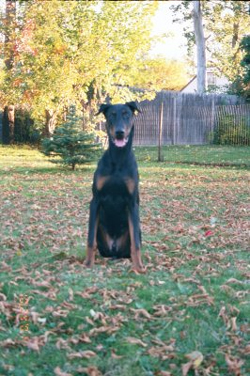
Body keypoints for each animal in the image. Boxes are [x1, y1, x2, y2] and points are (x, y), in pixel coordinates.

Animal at [85, 101, 145, 272]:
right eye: (111, 115)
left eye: (127, 114)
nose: (119, 132)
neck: (118, 159)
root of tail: (114, 250)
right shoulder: (95, 200)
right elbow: (90, 240)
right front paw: (88, 263)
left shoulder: (132, 202)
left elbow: (136, 244)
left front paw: (138, 267)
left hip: (137, 230)